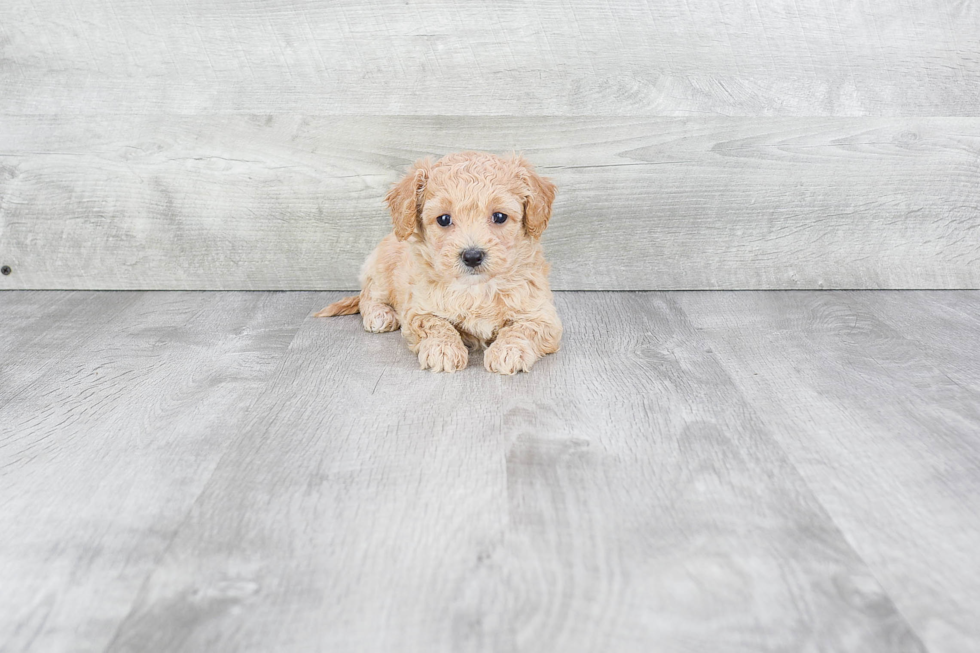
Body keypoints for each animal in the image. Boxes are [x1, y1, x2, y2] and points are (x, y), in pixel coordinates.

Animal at [318, 149, 564, 372]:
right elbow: (436, 324)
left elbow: (522, 329)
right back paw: (380, 314)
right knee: (367, 296)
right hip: (381, 272)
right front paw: (444, 349)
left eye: (499, 216)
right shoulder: (418, 310)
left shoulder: (542, 315)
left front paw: (508, 351)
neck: (476, 289)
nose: (472, 256)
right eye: (444, 219)